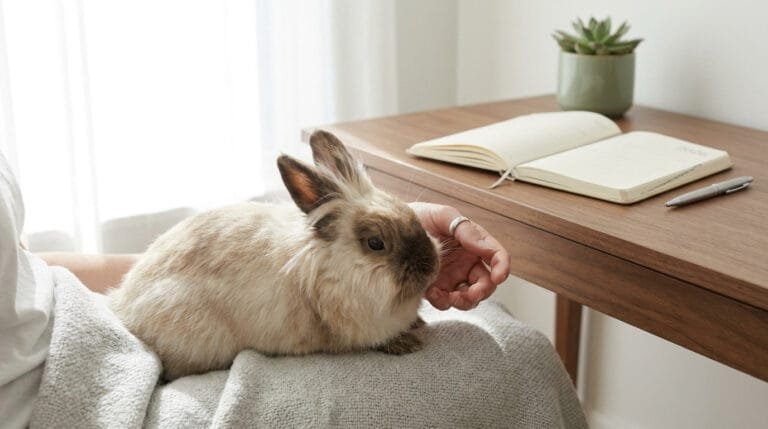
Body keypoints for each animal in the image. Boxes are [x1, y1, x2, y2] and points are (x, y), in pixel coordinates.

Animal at [108, 130, 441, 380]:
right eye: (375, 243)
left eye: (413, 216)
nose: (431, 265)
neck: (333, 271)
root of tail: (124, 307)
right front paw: (407, 343)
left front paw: (417, 324)